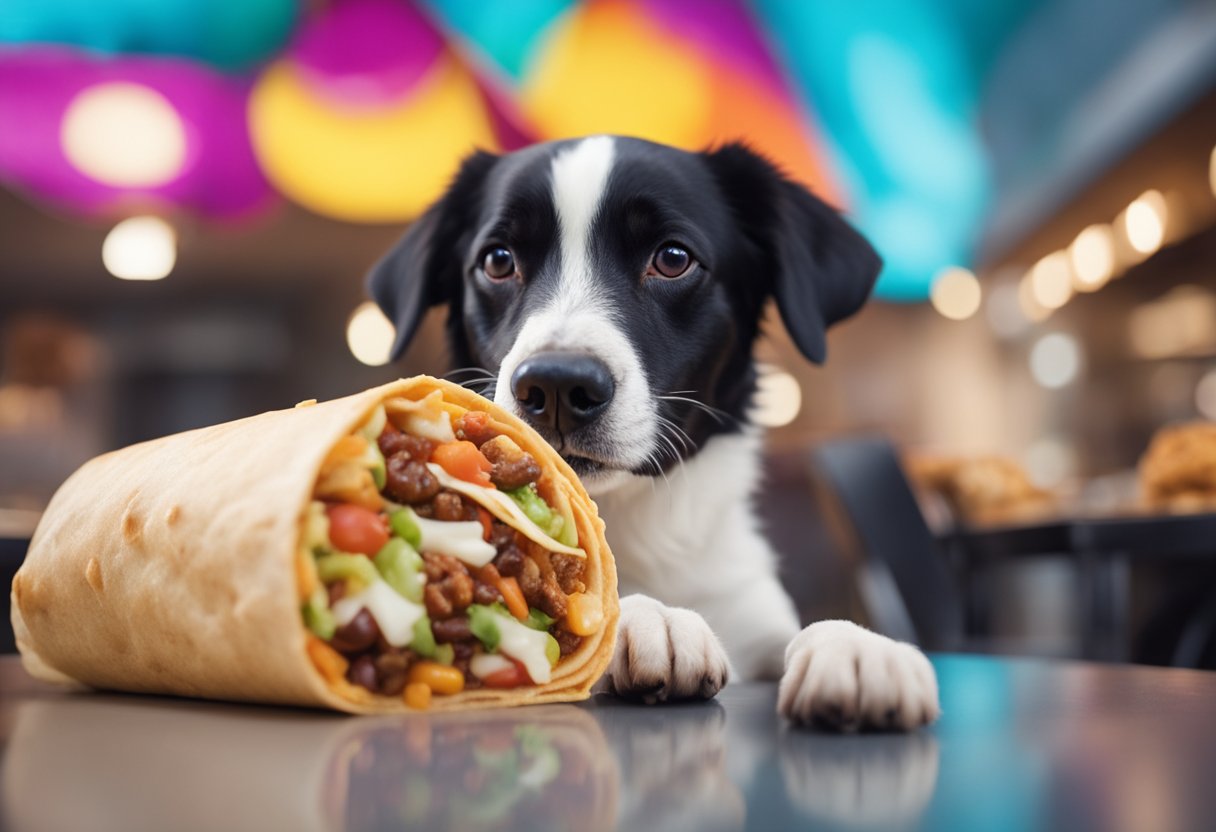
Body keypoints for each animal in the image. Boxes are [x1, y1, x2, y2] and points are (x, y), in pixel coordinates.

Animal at [369, 135, 938, 729]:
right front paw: (653, 616)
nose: (556, 386)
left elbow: (804, 629)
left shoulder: (750, 609)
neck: (634, 519)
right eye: (498, 261)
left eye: (672, 258)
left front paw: (858, 646)